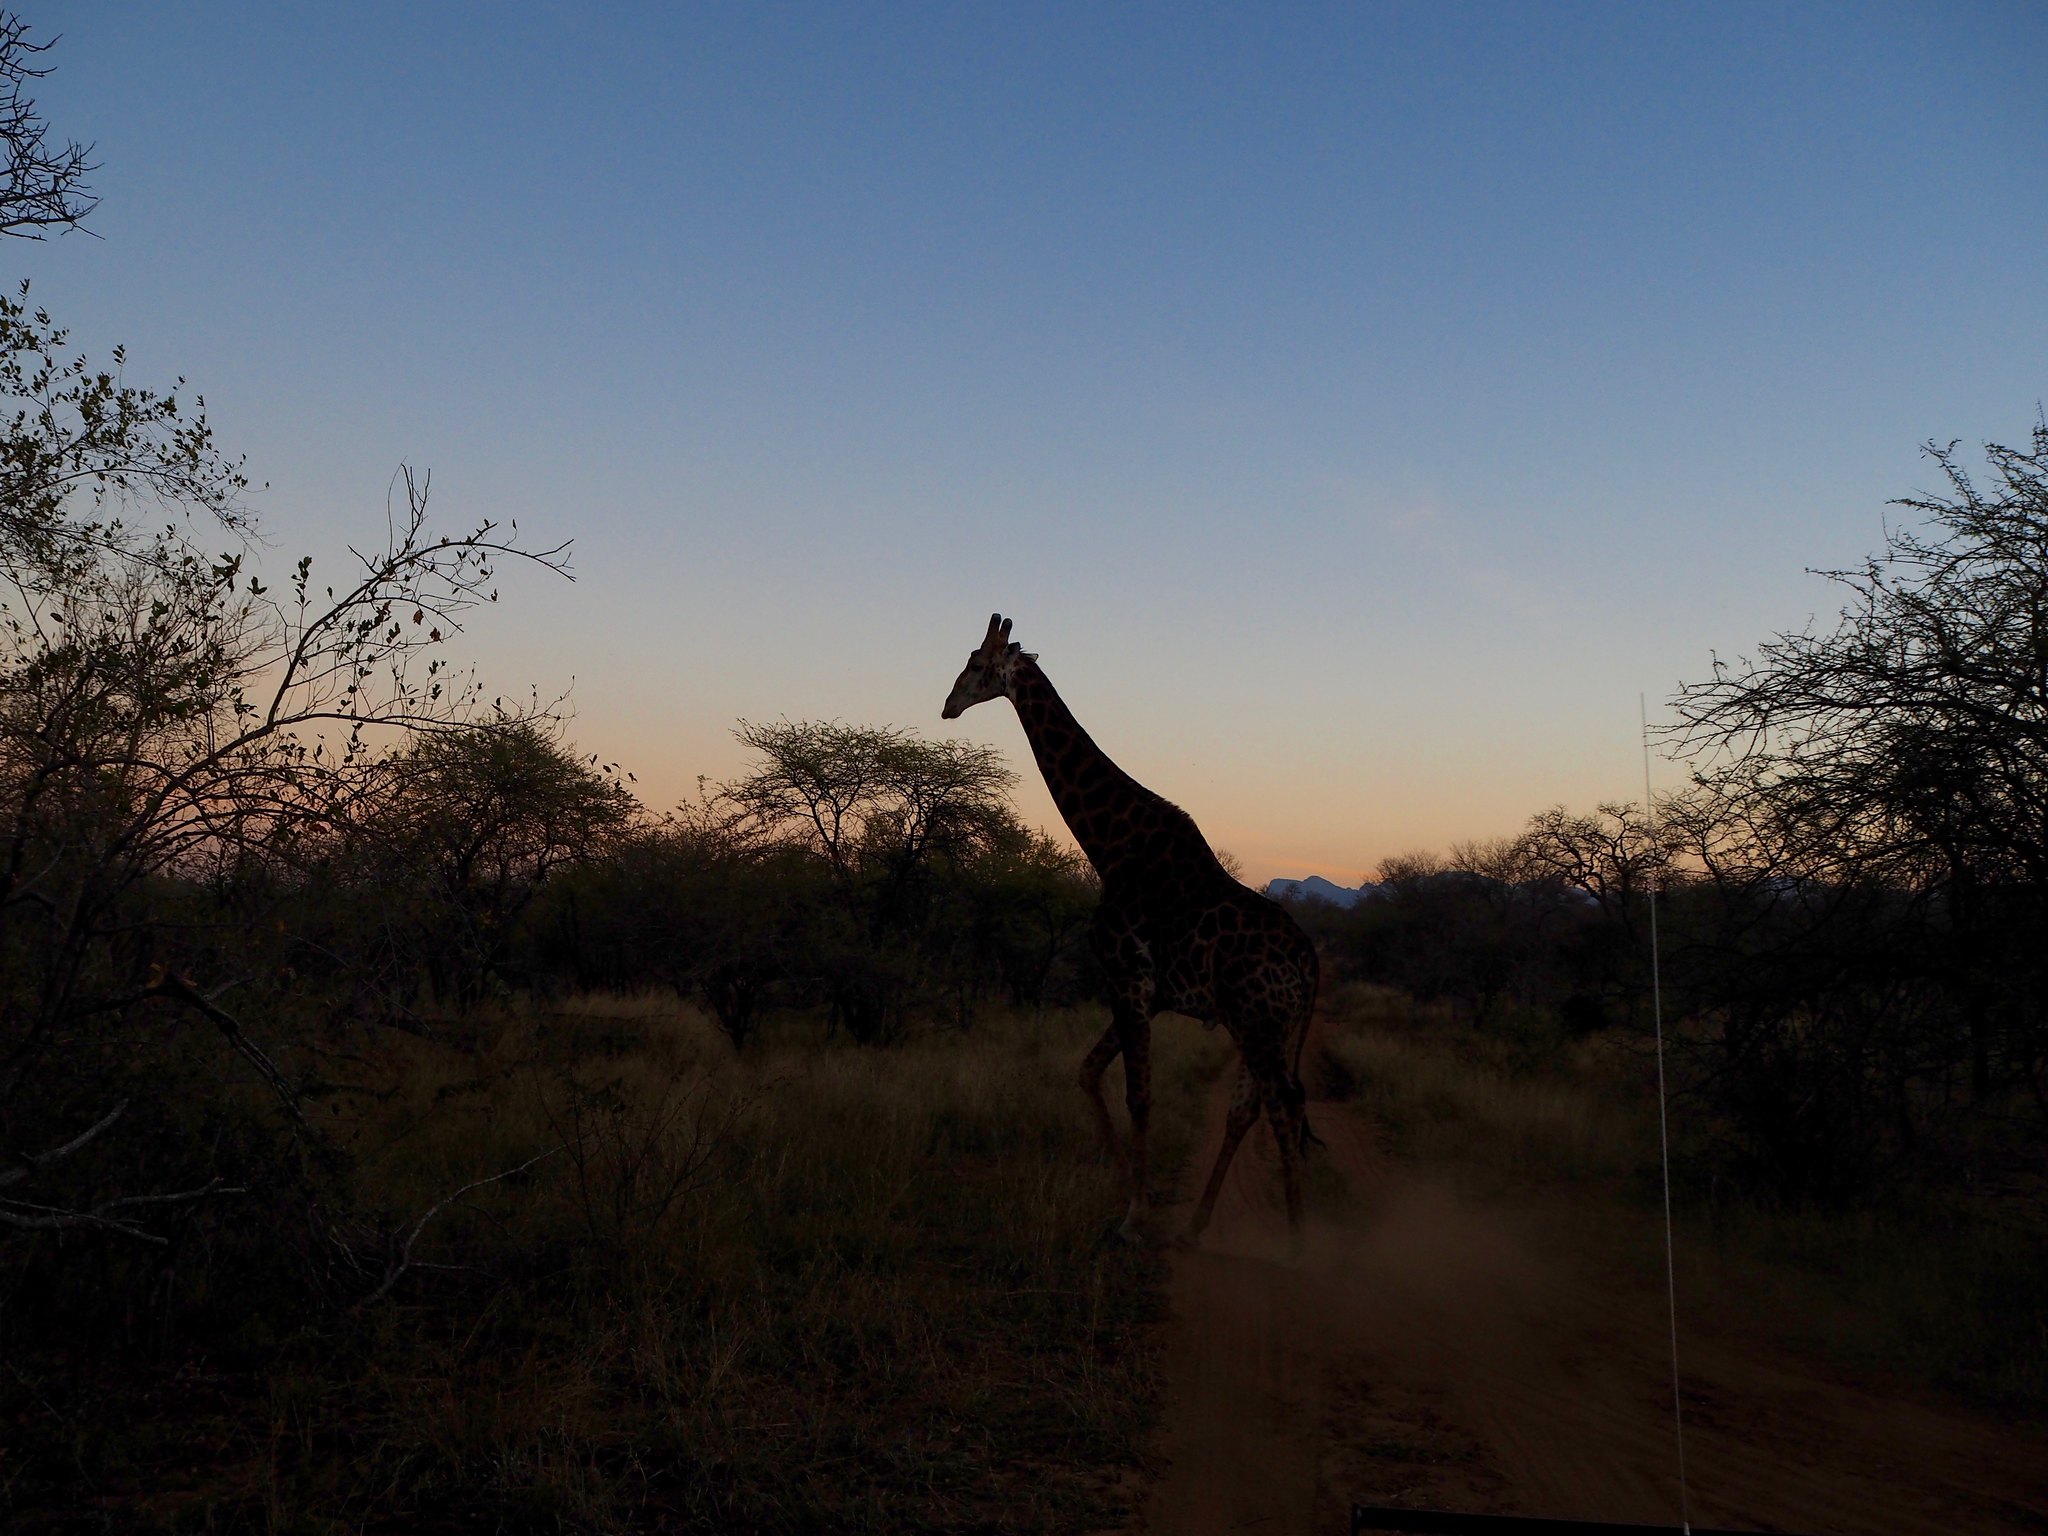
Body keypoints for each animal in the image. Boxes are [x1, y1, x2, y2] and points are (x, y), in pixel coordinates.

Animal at [942, 614, 1319, 1255]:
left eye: (975, 662)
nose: (947, 705)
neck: (1111, 844)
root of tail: (1309, 962)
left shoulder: (1130, 980)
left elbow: (1138, 1096)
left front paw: (1134, 1217)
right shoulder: (1147, 994)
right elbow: (1087, 1072)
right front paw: (1131, 1195)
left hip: (1262, 1021)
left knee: (1285, 1106)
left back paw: (1298, 1249)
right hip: (1261, 1023)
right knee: (1249, 1109)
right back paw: (1196, 1227)